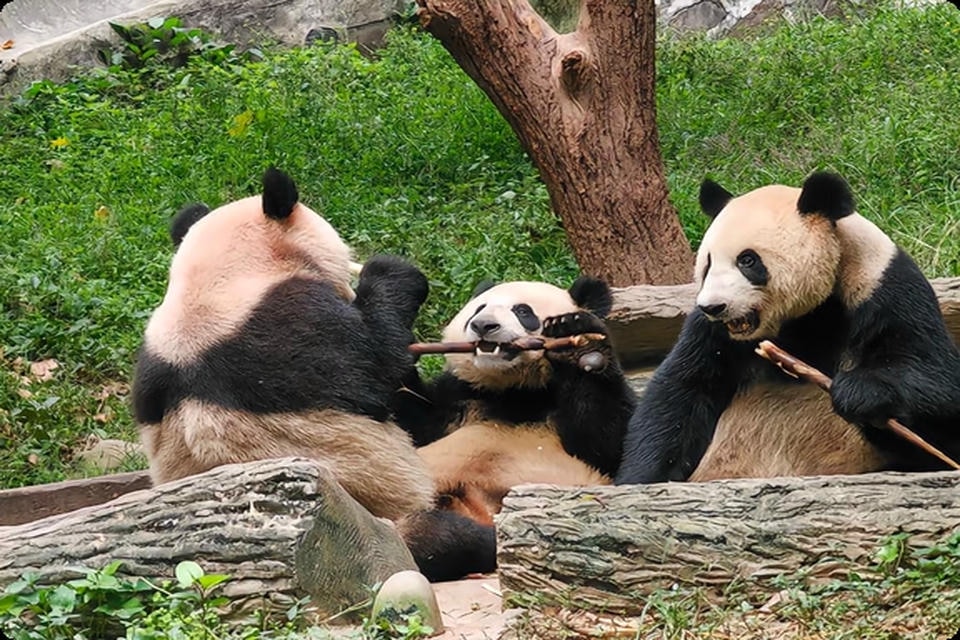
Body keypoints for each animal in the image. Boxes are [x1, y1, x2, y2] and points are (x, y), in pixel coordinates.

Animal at [394, 278, 637, 580]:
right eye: (478, 309)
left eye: (522, 311)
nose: (483, 325)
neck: (515, 391)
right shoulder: (457, 398)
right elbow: (410, 429)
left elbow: (610, 445)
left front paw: (579, 343)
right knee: (430, 535)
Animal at [616, 171, 960, 484]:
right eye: (708, 263)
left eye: (747, 261)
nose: (713, 306)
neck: (807, 316)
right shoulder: (711, 332)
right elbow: (682, 391)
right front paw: (640, 479)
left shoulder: (885, 288)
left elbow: (938, 379)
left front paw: (857, 392)